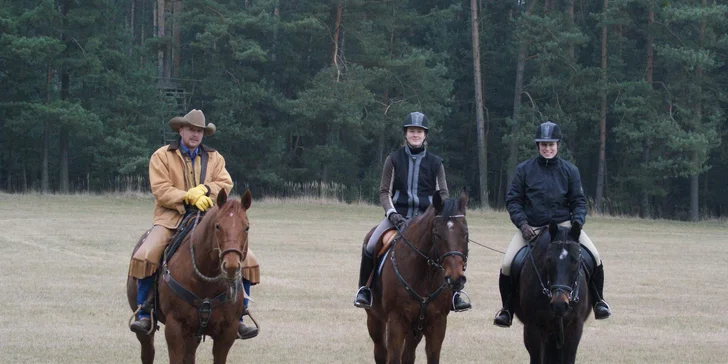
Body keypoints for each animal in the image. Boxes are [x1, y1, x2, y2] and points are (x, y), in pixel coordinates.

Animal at [123, 189, 252, 362]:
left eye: (246, 227)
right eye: (218, 226)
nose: (231, 266)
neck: (206, 281)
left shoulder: (227, 333)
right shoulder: (175, 328)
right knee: (148, 351)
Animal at [362, 191, 470, 364]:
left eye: (465, 234)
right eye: (437, 234)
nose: (455, 278)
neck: (425, 275)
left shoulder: (437, 324)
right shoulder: (396, 322)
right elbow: (393, 357)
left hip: (415, 329)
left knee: (408, 355)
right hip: (374, 320)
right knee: (380, 352)